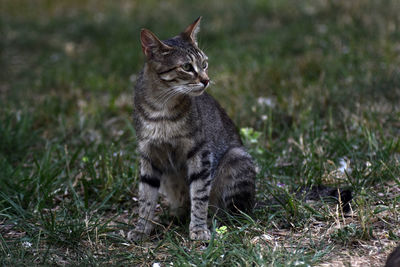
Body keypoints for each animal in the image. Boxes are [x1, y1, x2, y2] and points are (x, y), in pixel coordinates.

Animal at [131, 16, 256, 242]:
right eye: (187, 66)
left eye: (204, 64)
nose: (206, 80)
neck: (161, 109)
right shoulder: (148, 154)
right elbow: (145, 197)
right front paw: (141, 229)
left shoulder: (201, 153)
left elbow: (199, 196)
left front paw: (198, 229)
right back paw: (174, 215)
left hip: (236, 158)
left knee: (231, 210)